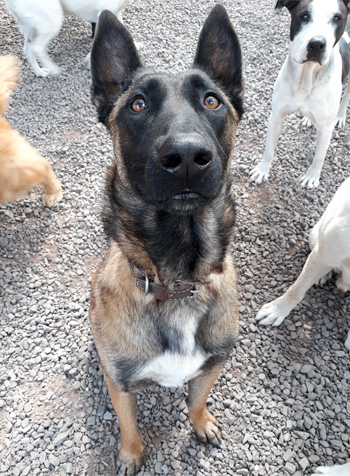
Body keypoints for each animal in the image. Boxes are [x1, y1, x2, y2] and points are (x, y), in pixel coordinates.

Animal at [5, 0, 134, 76]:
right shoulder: (103, 12)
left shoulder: (113, 12)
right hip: (53, 21)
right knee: (38, 48)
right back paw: (53, 68)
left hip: (31, 27)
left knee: (28, 50)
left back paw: (40, 72)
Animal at [89, 5, 243, 474]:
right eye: (137, 104)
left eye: (212, 100)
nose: (187, 157)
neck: (177, 281)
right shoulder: (120, 382)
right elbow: (128, 426)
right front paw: (130, 455)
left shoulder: (212, 366)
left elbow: (197, 400)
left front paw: (202, 422)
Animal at [250, 0, 350, 190]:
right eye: (304, 15)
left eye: (337, 18)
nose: (317, 44)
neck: (305, 79)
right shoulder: (276, 117)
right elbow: (268, 149)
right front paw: (262, 170)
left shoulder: (326, 128)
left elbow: (319, 156)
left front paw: (312, 177)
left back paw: (341, 116)